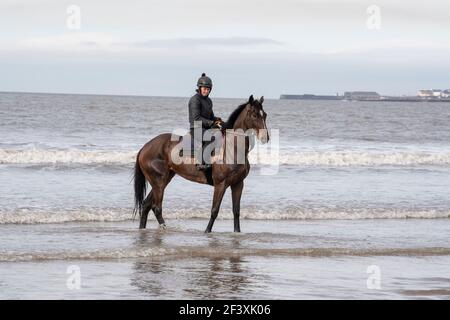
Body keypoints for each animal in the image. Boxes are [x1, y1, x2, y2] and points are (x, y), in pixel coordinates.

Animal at [133, 95, 268, 232]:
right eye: (255, 115)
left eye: (265, 115)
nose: (265, 138)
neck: (233, 148)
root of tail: (145, 147)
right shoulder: (220, 184)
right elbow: (214, 210)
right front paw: (207, 231)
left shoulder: (238, 184)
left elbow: (236, 211)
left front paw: (237, 232)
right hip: (159, 182)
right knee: (157, 208)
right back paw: (164, 227)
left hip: (162, 180)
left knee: (146, 205)